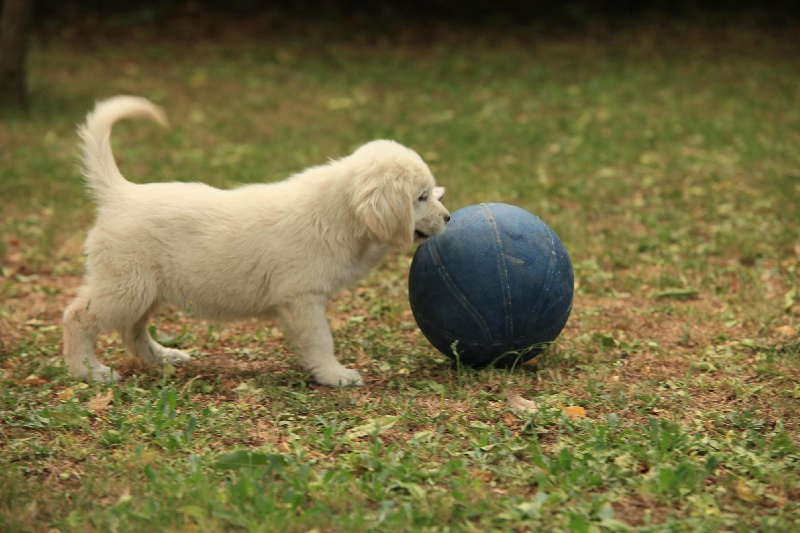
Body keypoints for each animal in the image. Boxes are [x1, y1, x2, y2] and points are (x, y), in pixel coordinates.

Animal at [62, 95, 450, 384]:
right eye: (420, 197)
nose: (448, 218)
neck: (337, 212)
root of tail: (120, 193)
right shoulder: (302, 298)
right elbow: (320, 340)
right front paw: (335, 375)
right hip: (125, 286)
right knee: (76, 318)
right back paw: (89, 371)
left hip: (146, 290)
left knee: (132, 332)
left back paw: (163, 357)